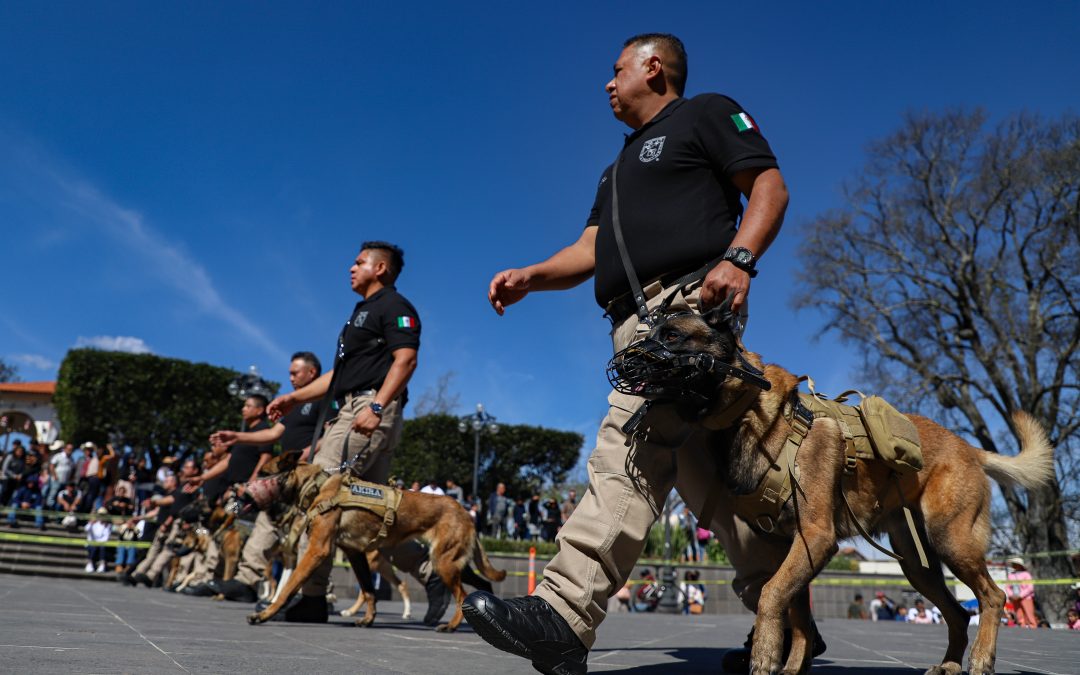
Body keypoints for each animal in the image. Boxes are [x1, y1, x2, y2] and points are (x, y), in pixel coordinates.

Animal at [245, 453, 505, 630]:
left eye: (263, 474)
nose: (241, 492)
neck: (317, 486)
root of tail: (466, 513)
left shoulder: (317, 550)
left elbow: (288, 587)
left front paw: (265, 614)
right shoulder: (355, 554)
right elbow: (369, 590)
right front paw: (368, 619)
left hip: (444, 563)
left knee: (461, 595)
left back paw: (451, 625)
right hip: (453, 561)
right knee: (482, 583)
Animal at [630, 304, 1054, 673]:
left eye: (671, 335)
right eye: (648, 333)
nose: (626, 363)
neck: (751, 412)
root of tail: (971, 448)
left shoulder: (816, 537)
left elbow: (771, 594)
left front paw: (764, 658)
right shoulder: (792, 546)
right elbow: (797, 615)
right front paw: (792, 667)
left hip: (952, 541)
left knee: (993, 597)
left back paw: (980, 661)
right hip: (918, 566)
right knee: (959, 613)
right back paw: (950, 664)